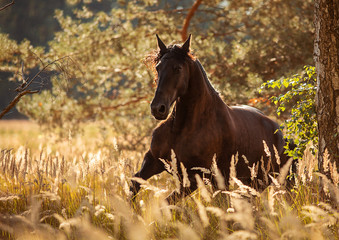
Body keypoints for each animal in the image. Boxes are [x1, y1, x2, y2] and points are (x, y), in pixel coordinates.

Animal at [131, 33, 292, 202]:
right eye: (158, 67)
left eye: (178, 68)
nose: (158, 108)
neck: (182, 129)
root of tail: (278, 130)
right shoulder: (153, 160)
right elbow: (135, 183)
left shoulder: (194, 177)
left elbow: (167, 201)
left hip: (257, 180)